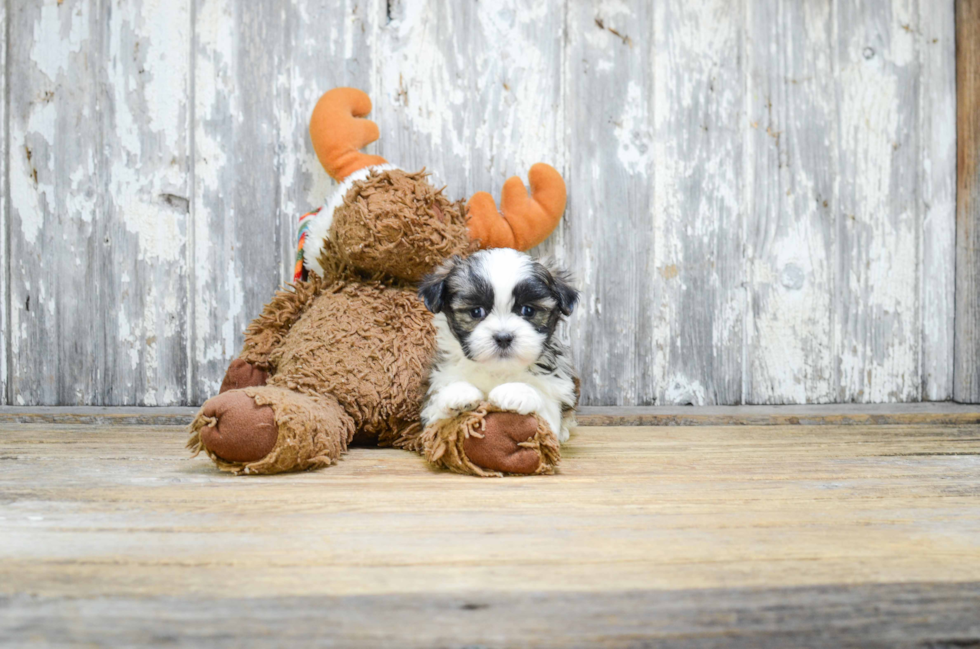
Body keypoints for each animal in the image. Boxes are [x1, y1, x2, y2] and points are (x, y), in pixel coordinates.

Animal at [416, 248, 580, 440]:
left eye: (528, 310)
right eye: (476, 312)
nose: (503, 337)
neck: (498, 370)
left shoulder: (555, 396)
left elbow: (546, 415)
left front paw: (517, 391)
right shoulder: (432, 409)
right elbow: (437, 424)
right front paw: (458, 392)